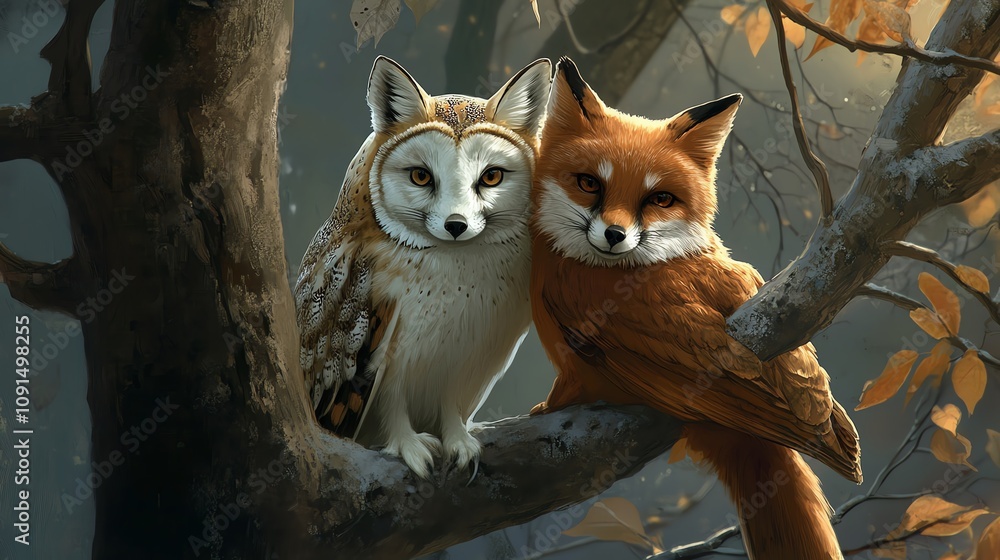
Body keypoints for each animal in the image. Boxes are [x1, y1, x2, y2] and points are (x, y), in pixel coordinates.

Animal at [529, 57, 862, 559]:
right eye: (589, 184)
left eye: (659, 198)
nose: (614, 235)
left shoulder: (575, 366)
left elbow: (557, 398)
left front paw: (541, 410)